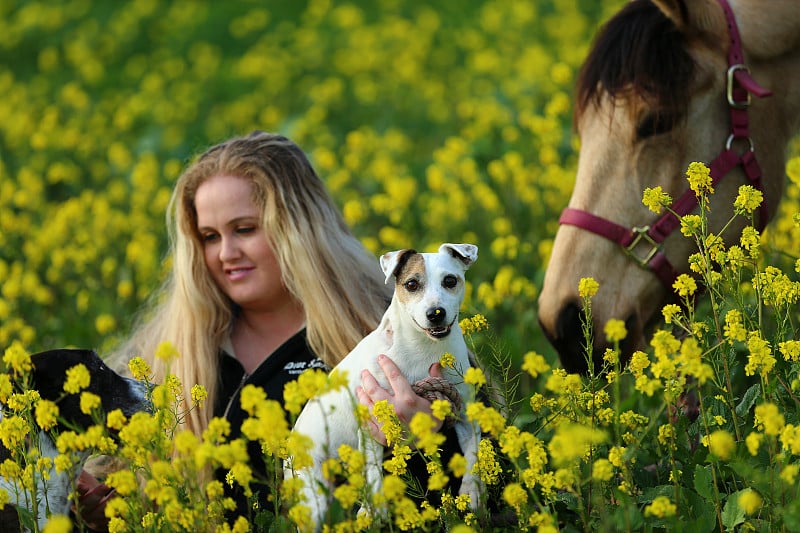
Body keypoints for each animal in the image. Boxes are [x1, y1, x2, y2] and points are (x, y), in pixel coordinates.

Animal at [288, 243, 482, 524]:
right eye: (411, 284)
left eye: (450, 281)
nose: (435, 313)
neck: (422, 348)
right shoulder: (371, 422)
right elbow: (372, 471)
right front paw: (374, 511)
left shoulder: (465, 415)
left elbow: (473, 454)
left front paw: (472, 493)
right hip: (312, 497)